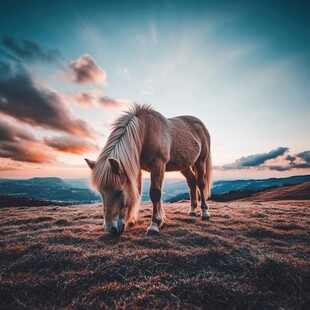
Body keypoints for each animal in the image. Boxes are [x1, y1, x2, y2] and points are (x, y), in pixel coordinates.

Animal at [84, 103, 211, 235]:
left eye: (119, 191)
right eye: (101, 193)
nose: (111, 229)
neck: (145, 131)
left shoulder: (158, 165)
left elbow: (155, 193)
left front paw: (154, 224)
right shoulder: (137, 168)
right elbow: (138, 191)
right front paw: (133, 221)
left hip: (201, 161)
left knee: (200, 184)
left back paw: (205, 213)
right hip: (184, 166)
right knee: (192, 182)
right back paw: (192, 210)